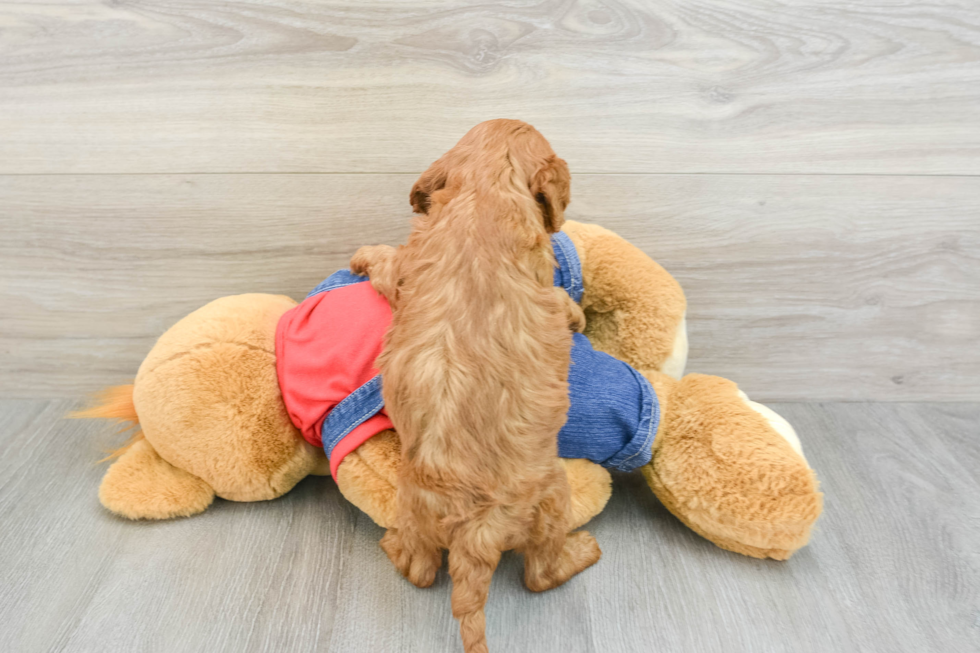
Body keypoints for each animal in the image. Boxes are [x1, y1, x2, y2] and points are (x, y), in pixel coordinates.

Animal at [352, 119, 596, 652]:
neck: (486, 190)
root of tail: (475, 533)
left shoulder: (411, 266)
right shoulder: (540, 280)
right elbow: (560, 301)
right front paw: (579, 315)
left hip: (415, 507)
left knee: (421, 569)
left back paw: (394, 545)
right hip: (553, 496)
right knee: (539, 574)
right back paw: (583, 551)